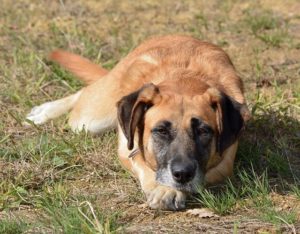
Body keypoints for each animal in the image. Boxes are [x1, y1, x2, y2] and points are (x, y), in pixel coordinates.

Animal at [27, 35, 250, 211]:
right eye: (160, 130)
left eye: (204, 131)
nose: (182, 174)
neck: (184, 78)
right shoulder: (131, 151)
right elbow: (146, 168)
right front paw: (165, 189)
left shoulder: (224, 164)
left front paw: (170, 190)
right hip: (89, 121)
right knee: (83, 95)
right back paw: (44, 112)